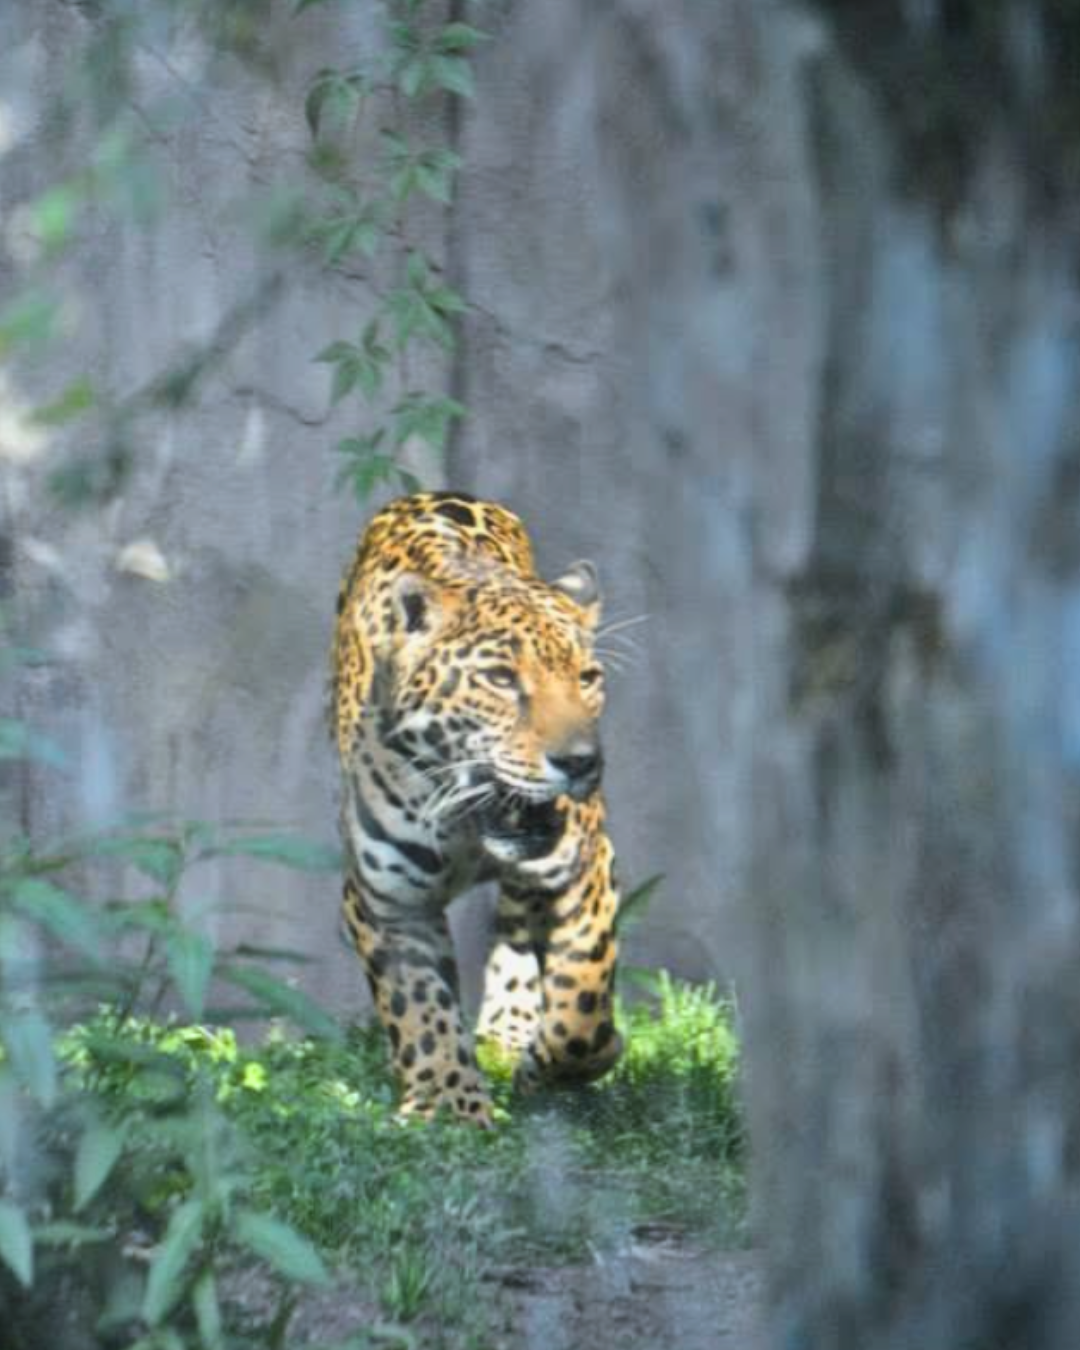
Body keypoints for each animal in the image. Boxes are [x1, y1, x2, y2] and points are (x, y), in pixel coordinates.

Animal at [331, 491, 622, 1126]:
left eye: (588, 677)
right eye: (499, 679)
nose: (581, 762)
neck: (468, 825)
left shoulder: (585, 868)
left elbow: (582, 1000)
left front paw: (559, 1064)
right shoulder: (386, 902)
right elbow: (419, 1006)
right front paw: (447, 1104)